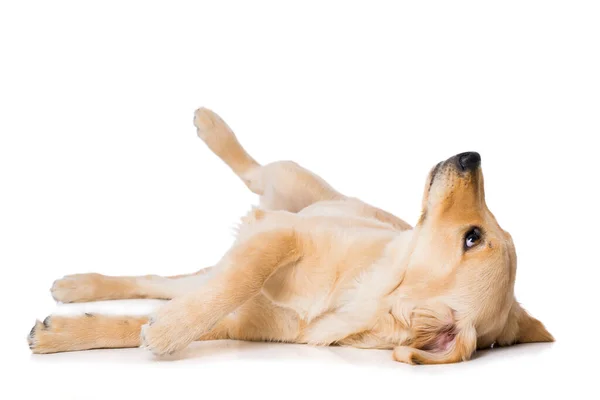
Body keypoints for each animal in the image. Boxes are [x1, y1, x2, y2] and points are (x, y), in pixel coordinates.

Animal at [28, 108, 552, 364]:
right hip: (290, 185)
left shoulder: (235, 321)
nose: (471, 156)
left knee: (162, 282)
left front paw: (149, 332)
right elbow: (243, 276)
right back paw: (209, 122)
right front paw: (168, 328)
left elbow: (135, 325)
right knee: (251, 169)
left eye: (472, 237)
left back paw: (77, 289)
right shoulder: (286, 233)